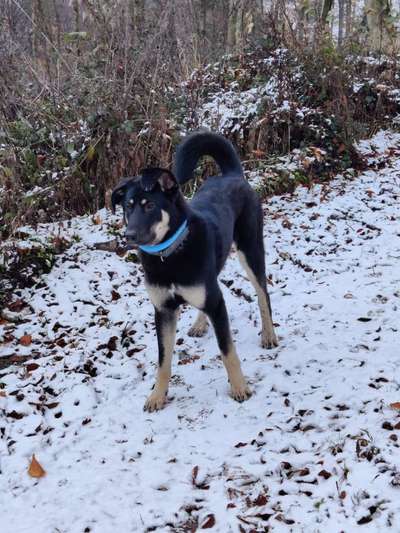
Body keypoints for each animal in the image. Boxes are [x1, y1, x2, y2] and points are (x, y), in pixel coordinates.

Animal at [111, 130, 276, 412]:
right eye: (128, 206)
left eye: (149, 206)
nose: (129, 235)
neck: (169, 255)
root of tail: (232, 174)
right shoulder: (163, 310)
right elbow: (163, 360)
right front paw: (157, 396)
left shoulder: (216, 304)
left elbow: (227, 351)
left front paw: (239, 387)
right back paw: (200, 323)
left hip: (251, 250)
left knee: (262, 292)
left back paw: (269, 334)